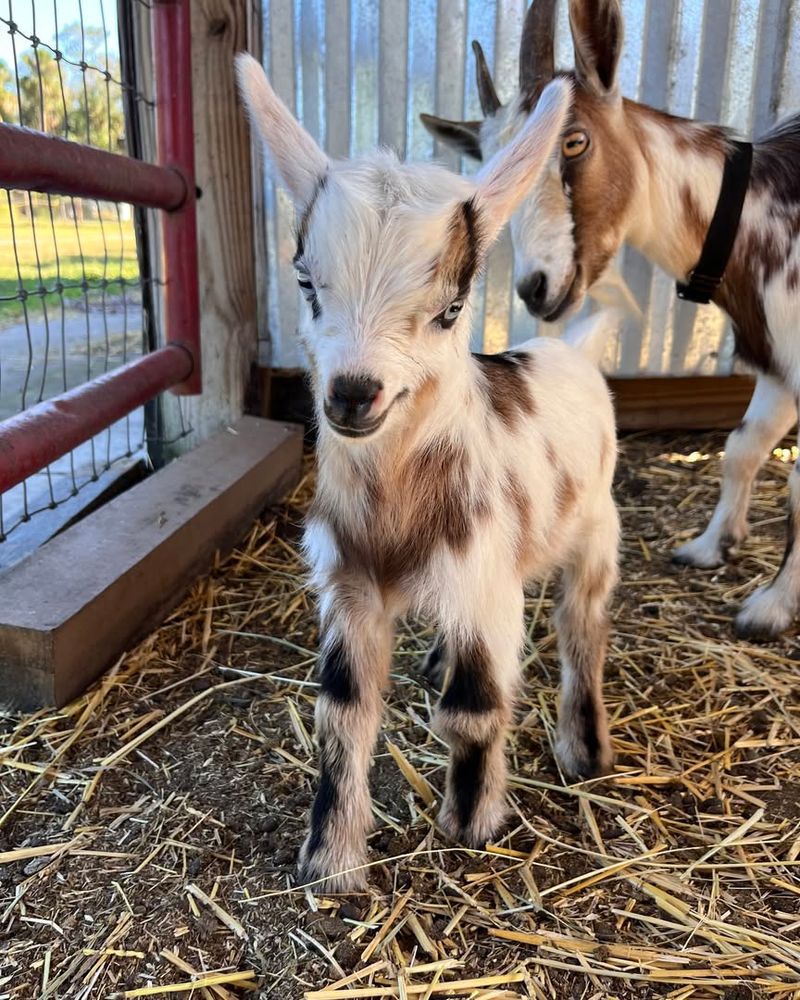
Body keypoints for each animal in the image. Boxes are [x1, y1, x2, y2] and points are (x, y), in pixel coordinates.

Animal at [236, 53, 620, 891]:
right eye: (306, 281)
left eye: (450, 308)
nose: (353, 394)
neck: (395, 512)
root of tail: (570, 349)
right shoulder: (348, 585)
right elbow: (343, 711)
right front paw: (330, 862)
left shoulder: (484, 582)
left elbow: (471, 710)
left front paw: (471, 822)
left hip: (596, 528)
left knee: (581, 625)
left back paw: (585, 749)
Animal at [423, 0, 800, 641]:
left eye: (575, 140)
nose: (536, 288)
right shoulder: (777, 362)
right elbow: (742, 446)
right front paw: (710, 546)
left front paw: (769, 608)